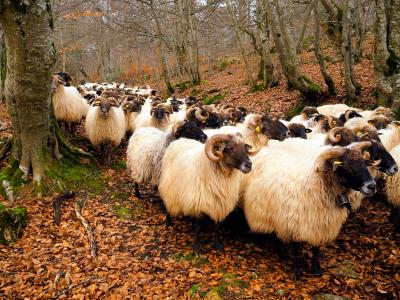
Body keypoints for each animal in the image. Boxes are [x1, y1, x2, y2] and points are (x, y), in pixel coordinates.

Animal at [241, 142, 378, 278]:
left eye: (365, 163)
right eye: (346, 165)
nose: (372, 186)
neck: (316, 183)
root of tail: (263, 149)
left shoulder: (319, 224)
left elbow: (316, 249)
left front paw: (316, 269)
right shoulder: (294, 222)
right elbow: (296, 249)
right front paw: (296, 271)